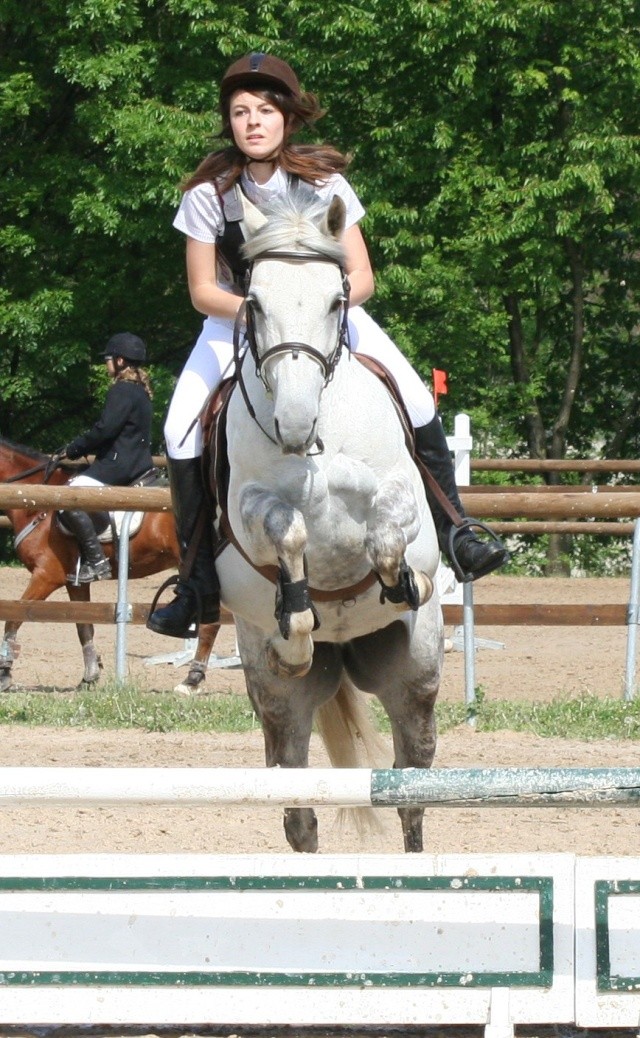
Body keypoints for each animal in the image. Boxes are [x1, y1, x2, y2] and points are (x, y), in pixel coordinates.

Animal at [0, 433, 218, 693]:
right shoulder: (75, 582)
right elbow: (83, 626)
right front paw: (90, 676)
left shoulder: (46, 575)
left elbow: (14, 617)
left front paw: (4, 673)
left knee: (211, 623)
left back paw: (191, 680)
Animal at [212, 190, 441, 855]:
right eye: (255, 301)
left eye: (335, 300)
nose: (292, 424)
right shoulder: (249, 505)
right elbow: (287, 532)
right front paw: (296, 621)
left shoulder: (399, 490)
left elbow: (385, 538)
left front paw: (405, 583)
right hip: (280, 701)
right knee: (297, 806)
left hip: (414, 676)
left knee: (412, 785)